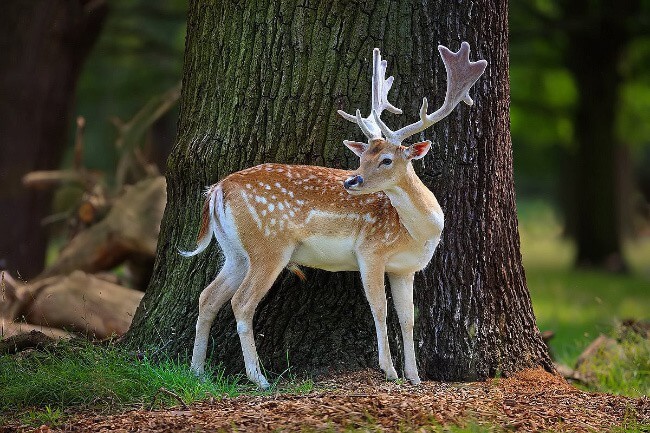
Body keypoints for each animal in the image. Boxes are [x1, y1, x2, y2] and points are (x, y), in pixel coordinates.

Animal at [180, 43, 484, 388]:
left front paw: (415, 376)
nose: (352, 181)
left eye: (386, 159)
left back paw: (197, 370)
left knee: (208, 297)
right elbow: (379, 308)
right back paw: (259, 378)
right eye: (363, 156)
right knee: (242, 303)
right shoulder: (370, 250)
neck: (420, 233)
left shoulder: (405, 269)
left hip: (235, 252)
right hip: (269, 246)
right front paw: (389, 370)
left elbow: (407, 318)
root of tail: (217, 189)